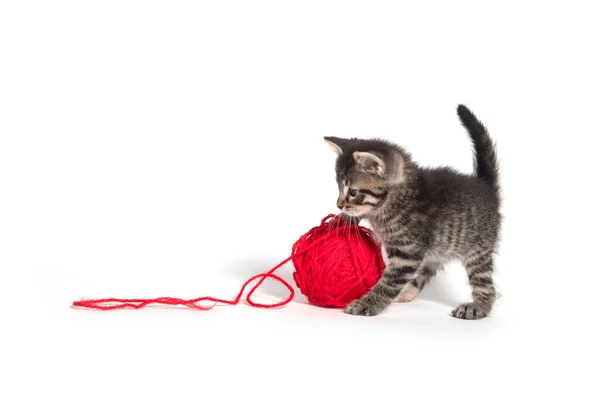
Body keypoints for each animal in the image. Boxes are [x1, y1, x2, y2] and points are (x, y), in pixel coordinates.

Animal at [326, 104, 500, 318]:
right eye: (339, 188)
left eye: (352, 191)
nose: (339, 204)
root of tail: (486, 187)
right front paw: (340, 220)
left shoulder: (407, 253)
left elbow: (390, 282)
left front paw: (367, 303)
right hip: (439, 249)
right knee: (428, 269)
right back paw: (407, 291)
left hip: (478, 251)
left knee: (486, 285)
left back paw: (477, 306)